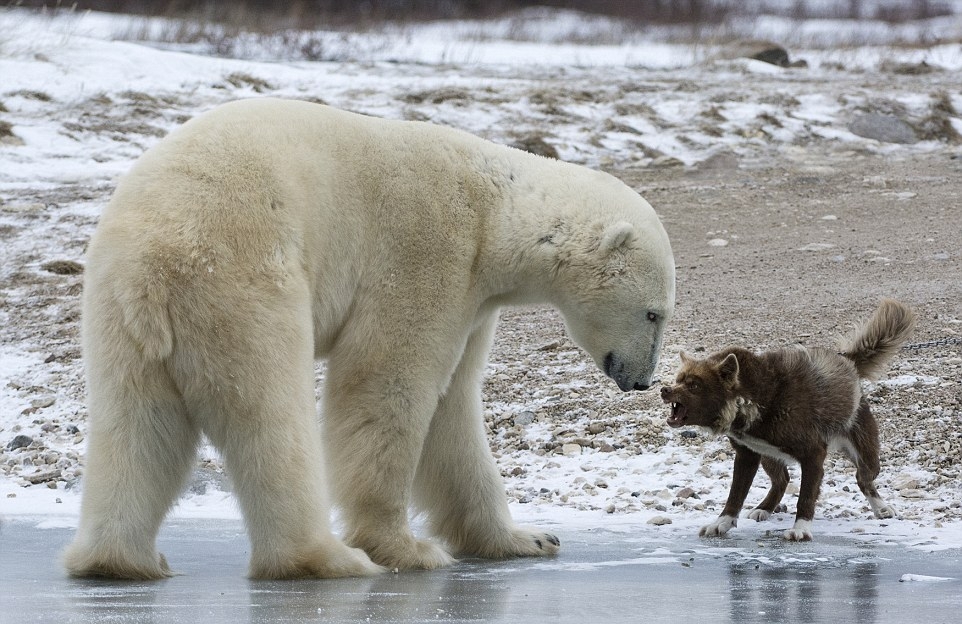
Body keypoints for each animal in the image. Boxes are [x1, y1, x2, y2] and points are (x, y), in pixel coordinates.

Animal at [63, 97, 672, 580]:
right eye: (654, 314)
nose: (642, 381)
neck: (492, 211)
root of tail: (158, 262)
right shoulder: (427, 249)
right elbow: (386, 382)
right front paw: (406, 548)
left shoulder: (473, 299)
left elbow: (453, 410)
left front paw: (530, 538)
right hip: (242, 282)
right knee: (270, 416)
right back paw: (327, 558)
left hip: (120, 314)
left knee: (138, 427)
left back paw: (121, 560)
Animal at [660, 298, 916, 540]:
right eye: (678, 379)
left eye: (693, 385)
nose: (664, 389)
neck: (759, 398)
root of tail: (848, 363)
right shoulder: (747, 454)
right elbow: (735, 495)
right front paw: (721, 523)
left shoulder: (813, 454)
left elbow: (806, 497)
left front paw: (801, 529)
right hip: (769, 455)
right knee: (782, 480)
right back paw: (765, 508)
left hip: (865, 452)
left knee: (864, 478)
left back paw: (881, 507)